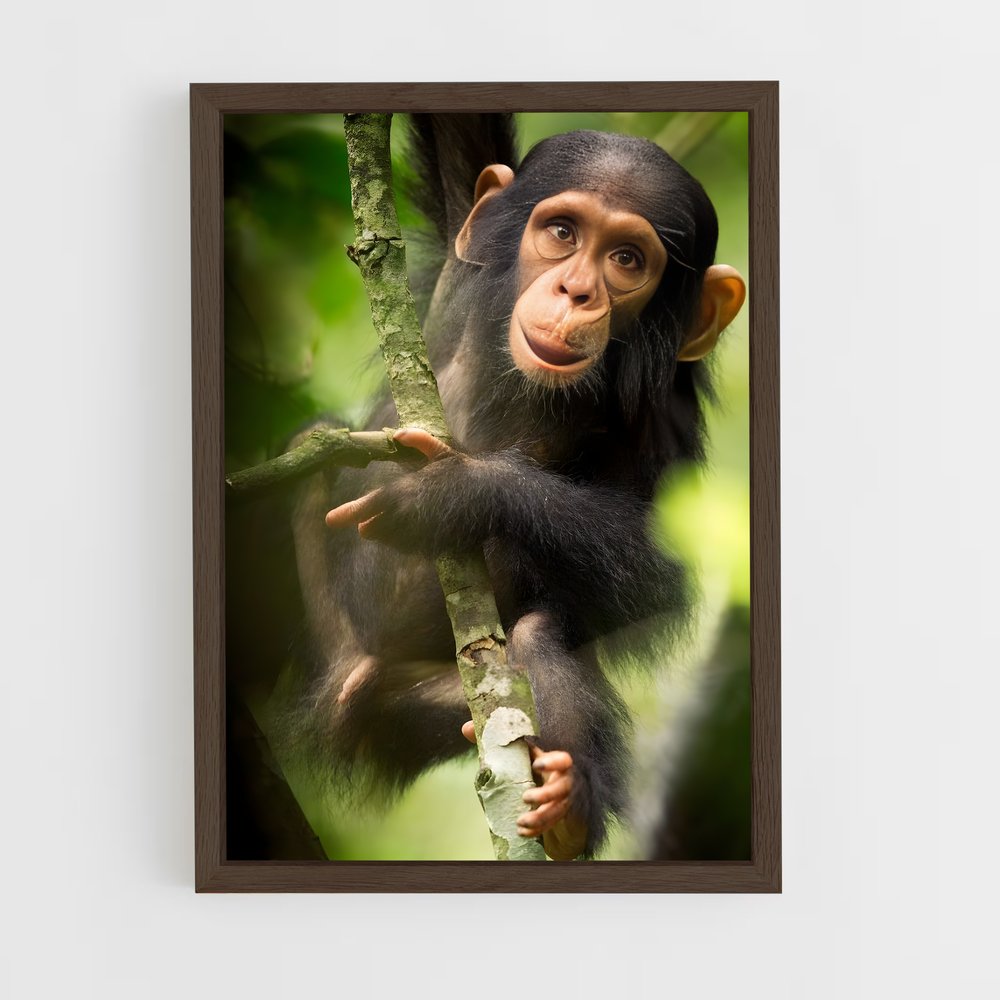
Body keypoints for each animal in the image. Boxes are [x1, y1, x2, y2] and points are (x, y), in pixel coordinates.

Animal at [281, 115, 746, 860]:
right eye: (561, 233)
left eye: (627, 260)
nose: (576, 291)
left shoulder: (662, 425)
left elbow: (657, 568)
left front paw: (455, 493)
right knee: (313, 445)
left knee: (536, 638)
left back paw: (567, 804)